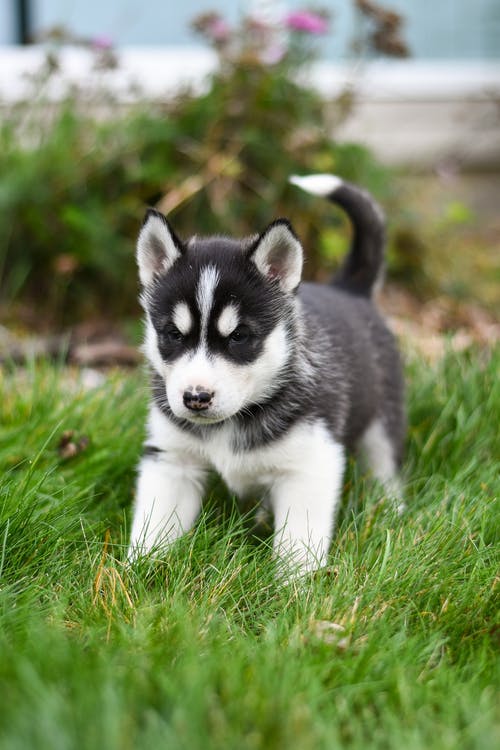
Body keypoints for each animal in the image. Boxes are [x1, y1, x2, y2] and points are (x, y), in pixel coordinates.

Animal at [127, 176, 404, 576]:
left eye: (240, 336)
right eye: (173, 335)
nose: (196, 398)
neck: (232, 422)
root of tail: (348, 289)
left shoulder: (311, 463)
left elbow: (298, 541)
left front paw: (293, 586)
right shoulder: (172, 459)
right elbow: (154, 525)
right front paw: (137, 571)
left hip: (383, 422)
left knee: (386, 468)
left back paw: (392, 512)